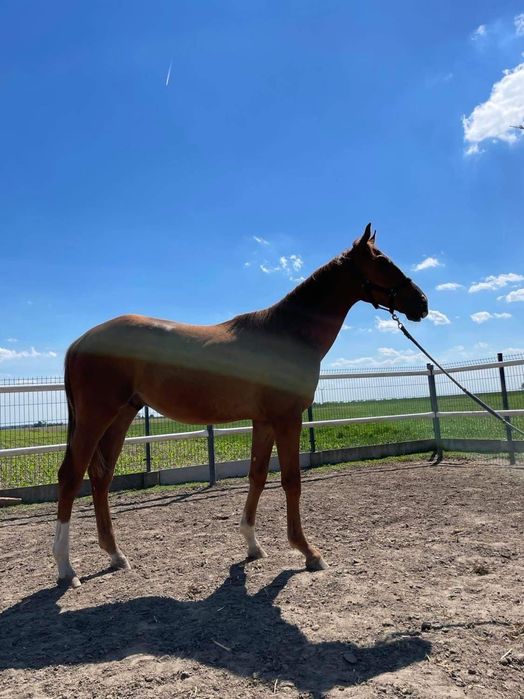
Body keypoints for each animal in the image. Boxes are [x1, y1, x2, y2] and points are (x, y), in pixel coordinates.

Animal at [53, 224, 428, 584]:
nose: (422, 303)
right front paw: (308, 552)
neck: (287, 334)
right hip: (96, 417)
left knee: (101, 478)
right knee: (71, 476)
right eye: (383, 262)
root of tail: (80, 341)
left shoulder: (264, 421)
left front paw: (252, 545)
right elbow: (291, 480)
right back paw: (66, 569)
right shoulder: (287, 419)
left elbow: (257, 476)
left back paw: (115, 555)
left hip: (121, 416)